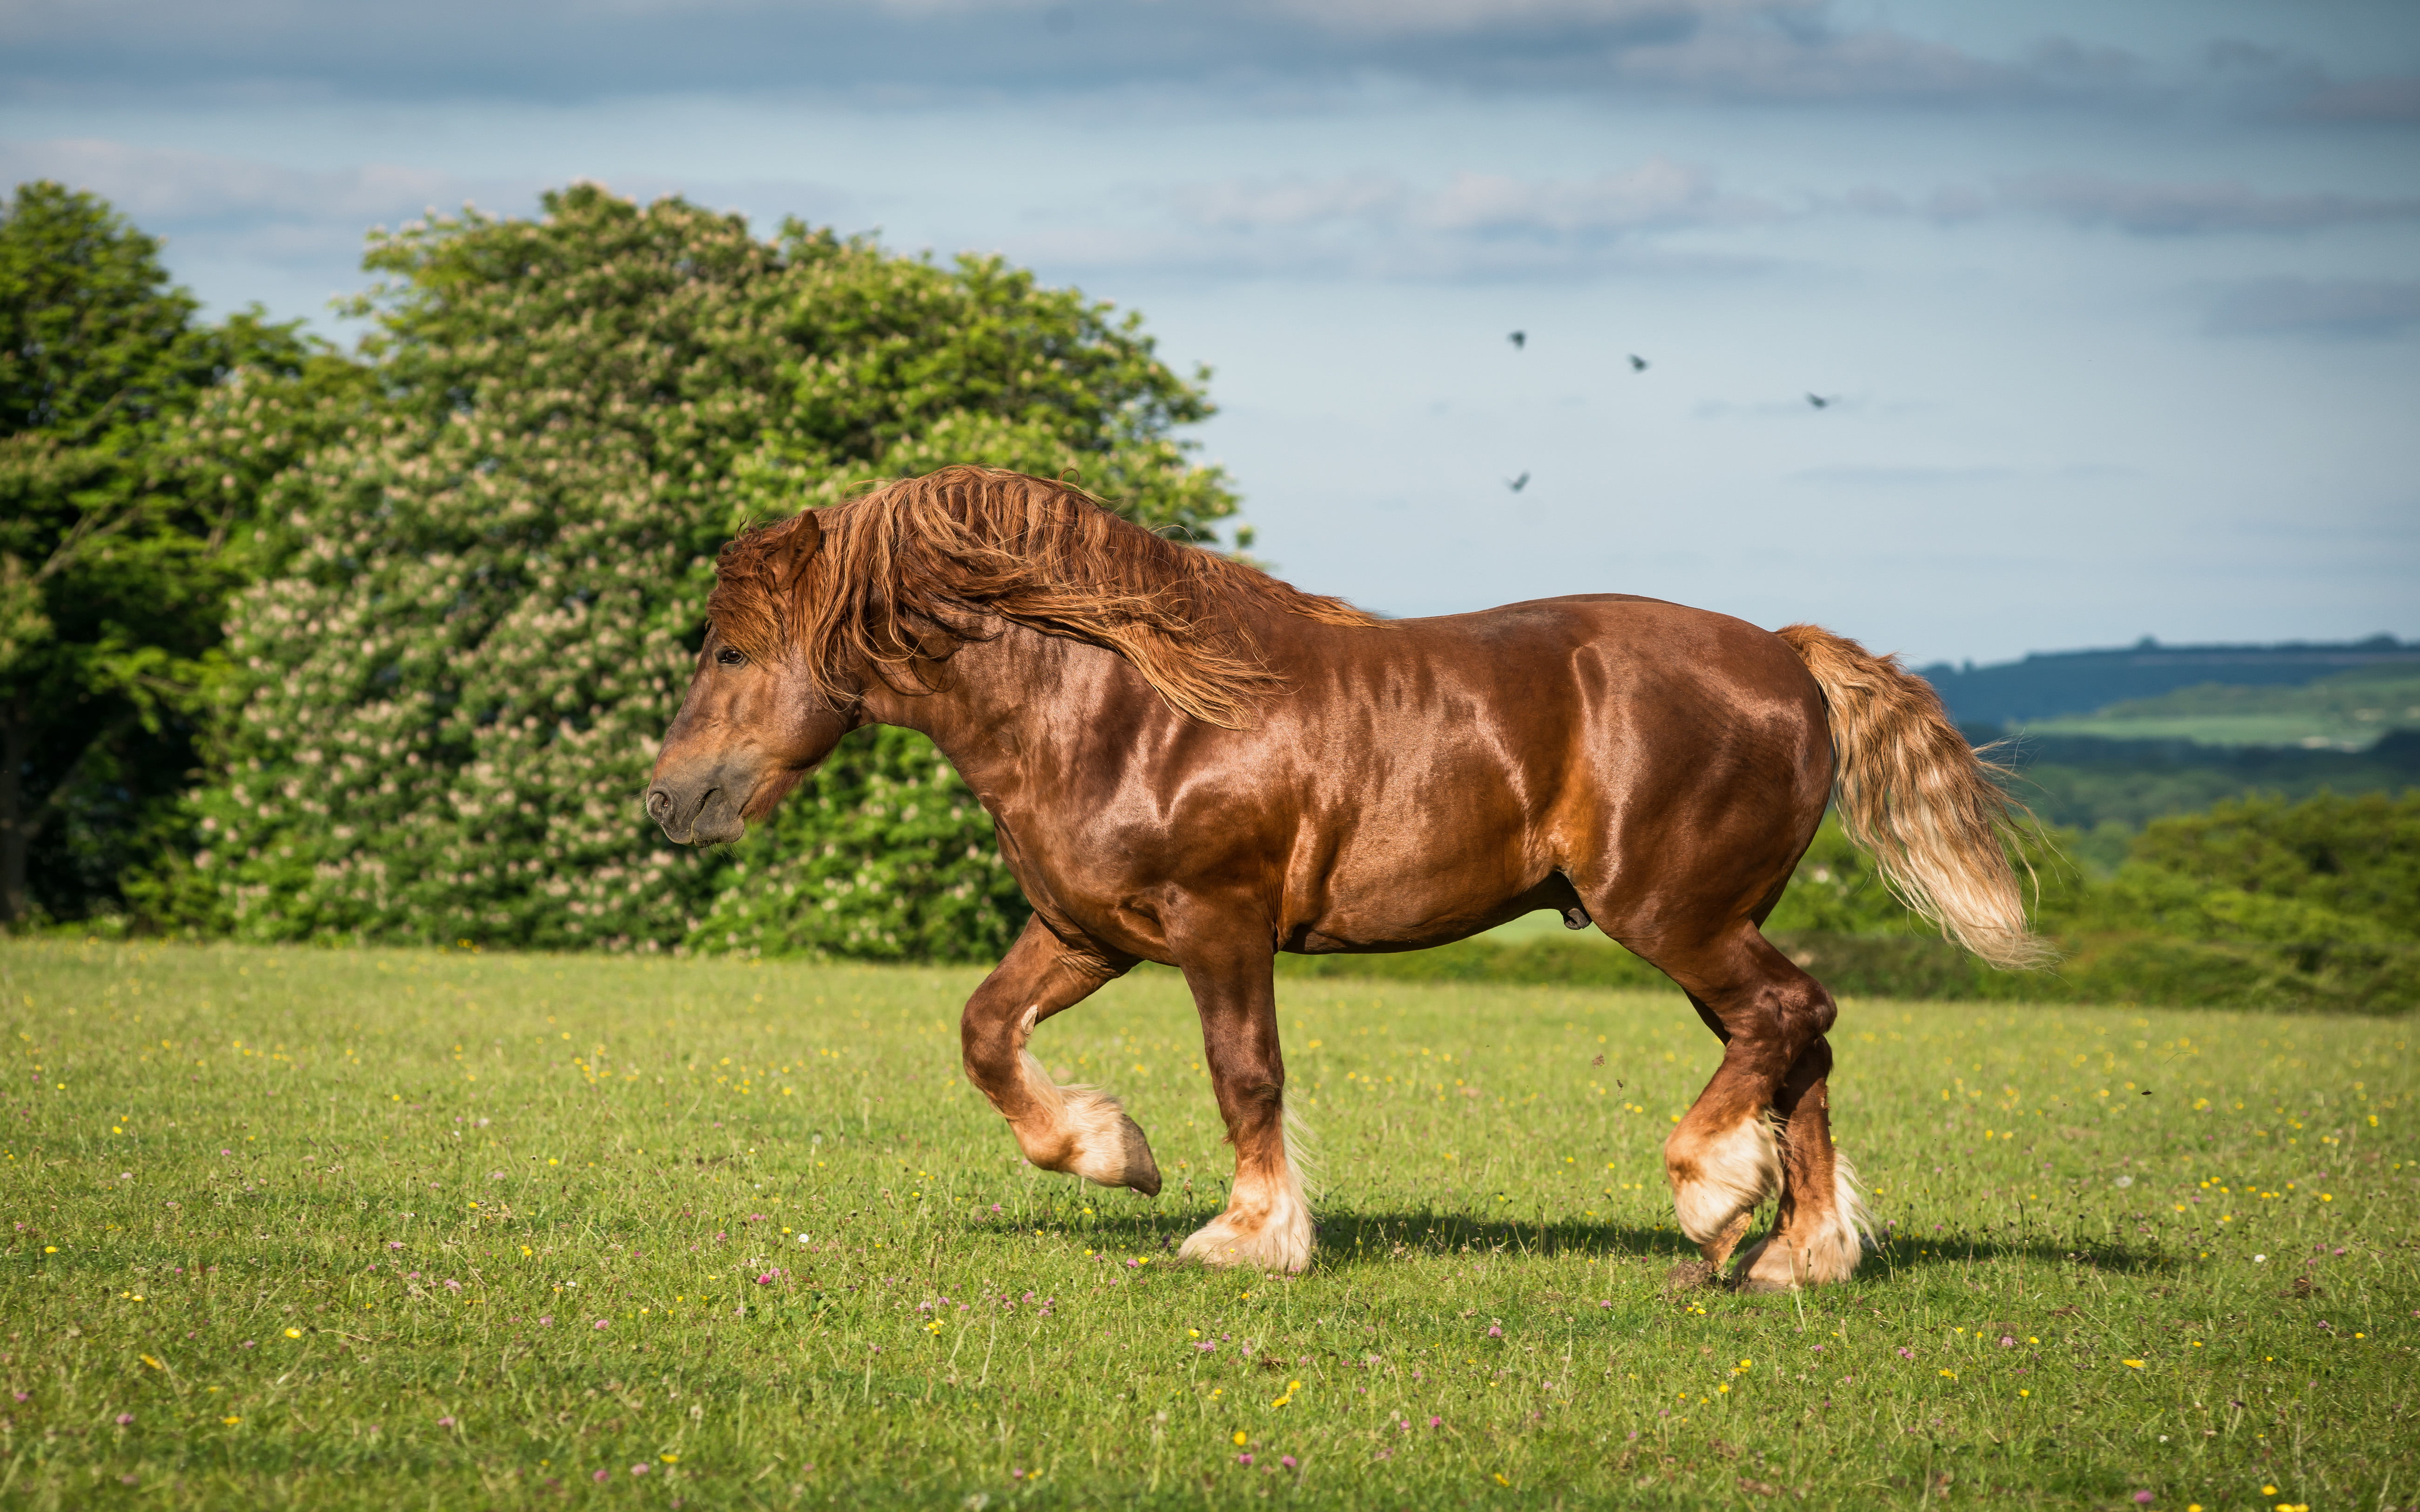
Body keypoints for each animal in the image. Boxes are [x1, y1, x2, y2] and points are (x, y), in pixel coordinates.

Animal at [646, 466, 2045, 1289]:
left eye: (730, 650)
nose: (668, 801)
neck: (1120, 704)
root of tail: (1789, 658)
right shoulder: (1087, 931)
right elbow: (986, 1034)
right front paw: (1109, 1152)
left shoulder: (1219, 922)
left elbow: (1246, 1072)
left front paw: (1247, 1234)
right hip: (1712, 922)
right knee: (1795, 1044)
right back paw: (1794, 1255)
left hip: (1673, 914)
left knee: (1791, 1019)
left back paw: (1713, 1199)